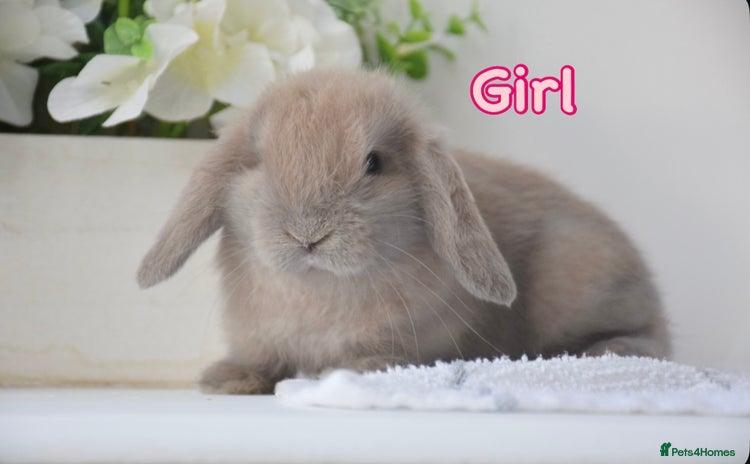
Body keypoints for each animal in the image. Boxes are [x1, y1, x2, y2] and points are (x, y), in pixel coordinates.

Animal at [137, 68, 670, 394]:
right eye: (259, 162)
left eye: (374, 164)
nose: (308, 235)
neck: (317, 286)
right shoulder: (259, 335)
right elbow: (263, 358)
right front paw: (227, 379)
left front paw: (351, 369)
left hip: (585, 275)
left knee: (653, 344)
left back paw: (608, 351)